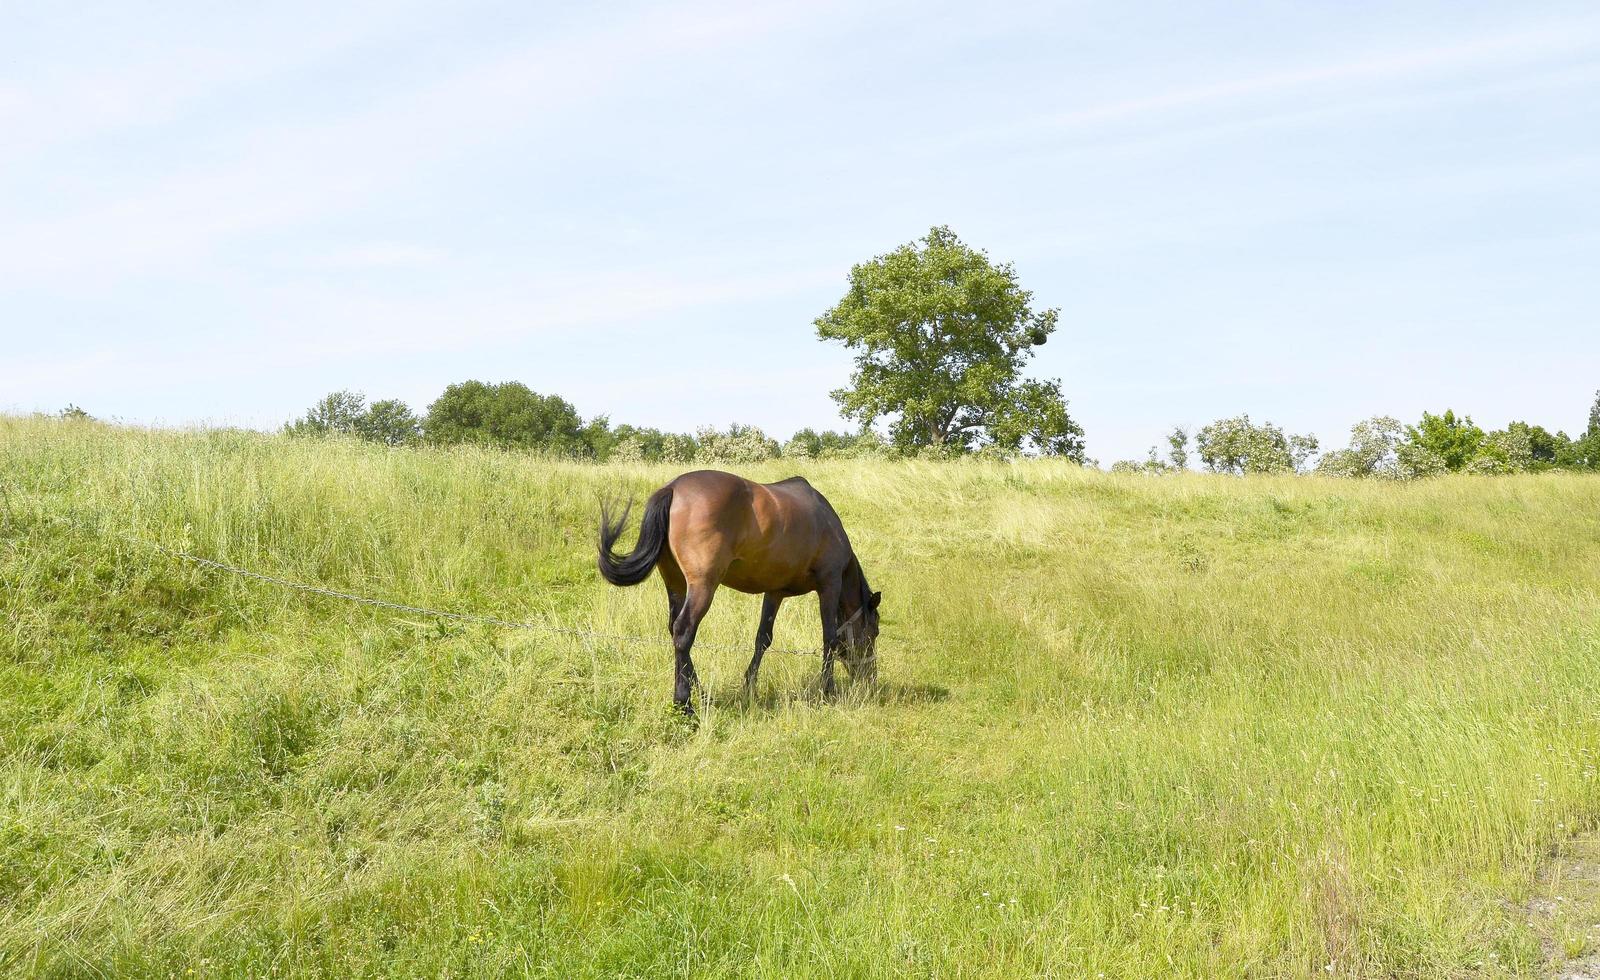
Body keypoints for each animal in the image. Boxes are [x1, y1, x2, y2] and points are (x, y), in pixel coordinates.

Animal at [595, 467, 883, 710]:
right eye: (874, 631)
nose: (871, 678)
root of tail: (673, 488)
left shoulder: (775, 592)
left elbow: (763, 639)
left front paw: (749, 685)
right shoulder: (829, 584)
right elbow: (830, 637)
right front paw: (827, 690)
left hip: (676, 584)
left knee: (675, 633)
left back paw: (701, 694)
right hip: (703, 586)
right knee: (684, 632)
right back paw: (684, 703)